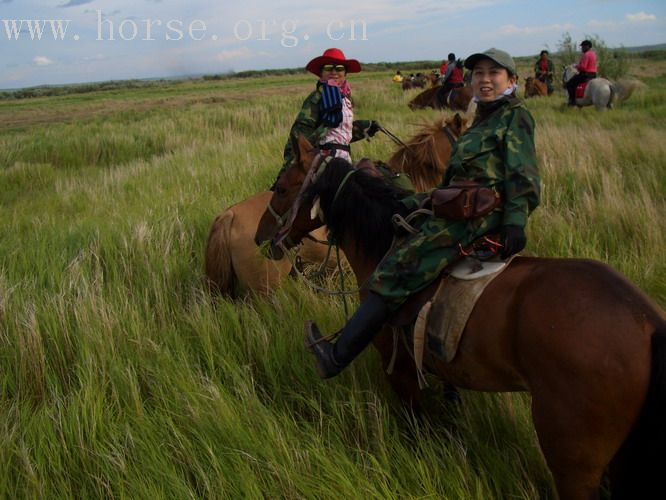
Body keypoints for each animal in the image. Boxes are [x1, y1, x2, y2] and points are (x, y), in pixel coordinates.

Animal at [256, 142, 664, 500]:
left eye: (282, 188)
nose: (262, 238)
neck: (384, 243)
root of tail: (647, 323)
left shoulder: (400, 371)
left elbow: (416, 426)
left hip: (574, 462)